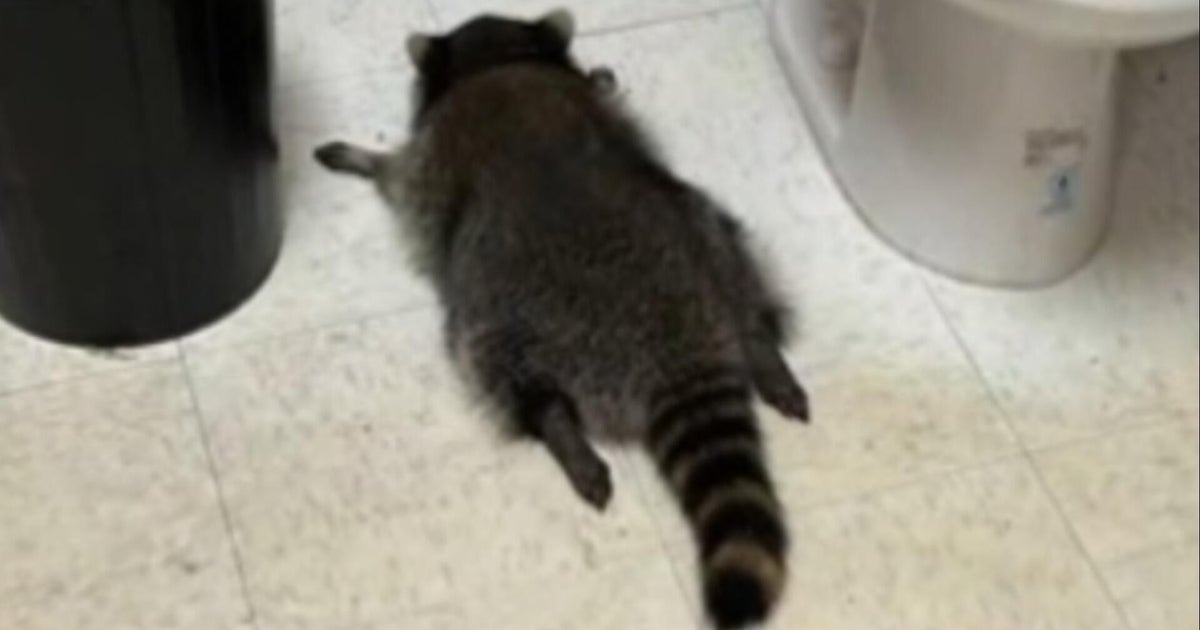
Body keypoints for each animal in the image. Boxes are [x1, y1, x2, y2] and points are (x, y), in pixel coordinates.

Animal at [314, 10, 809, 629]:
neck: (497, 59)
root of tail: (677, 343)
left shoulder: (430, 158)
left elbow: (399, 174)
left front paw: (365, 158)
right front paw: (599, 75)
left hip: (500, 309)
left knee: (497, 366)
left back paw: (559, 427)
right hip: (706, 231)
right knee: (737, 267)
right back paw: (762, 348)